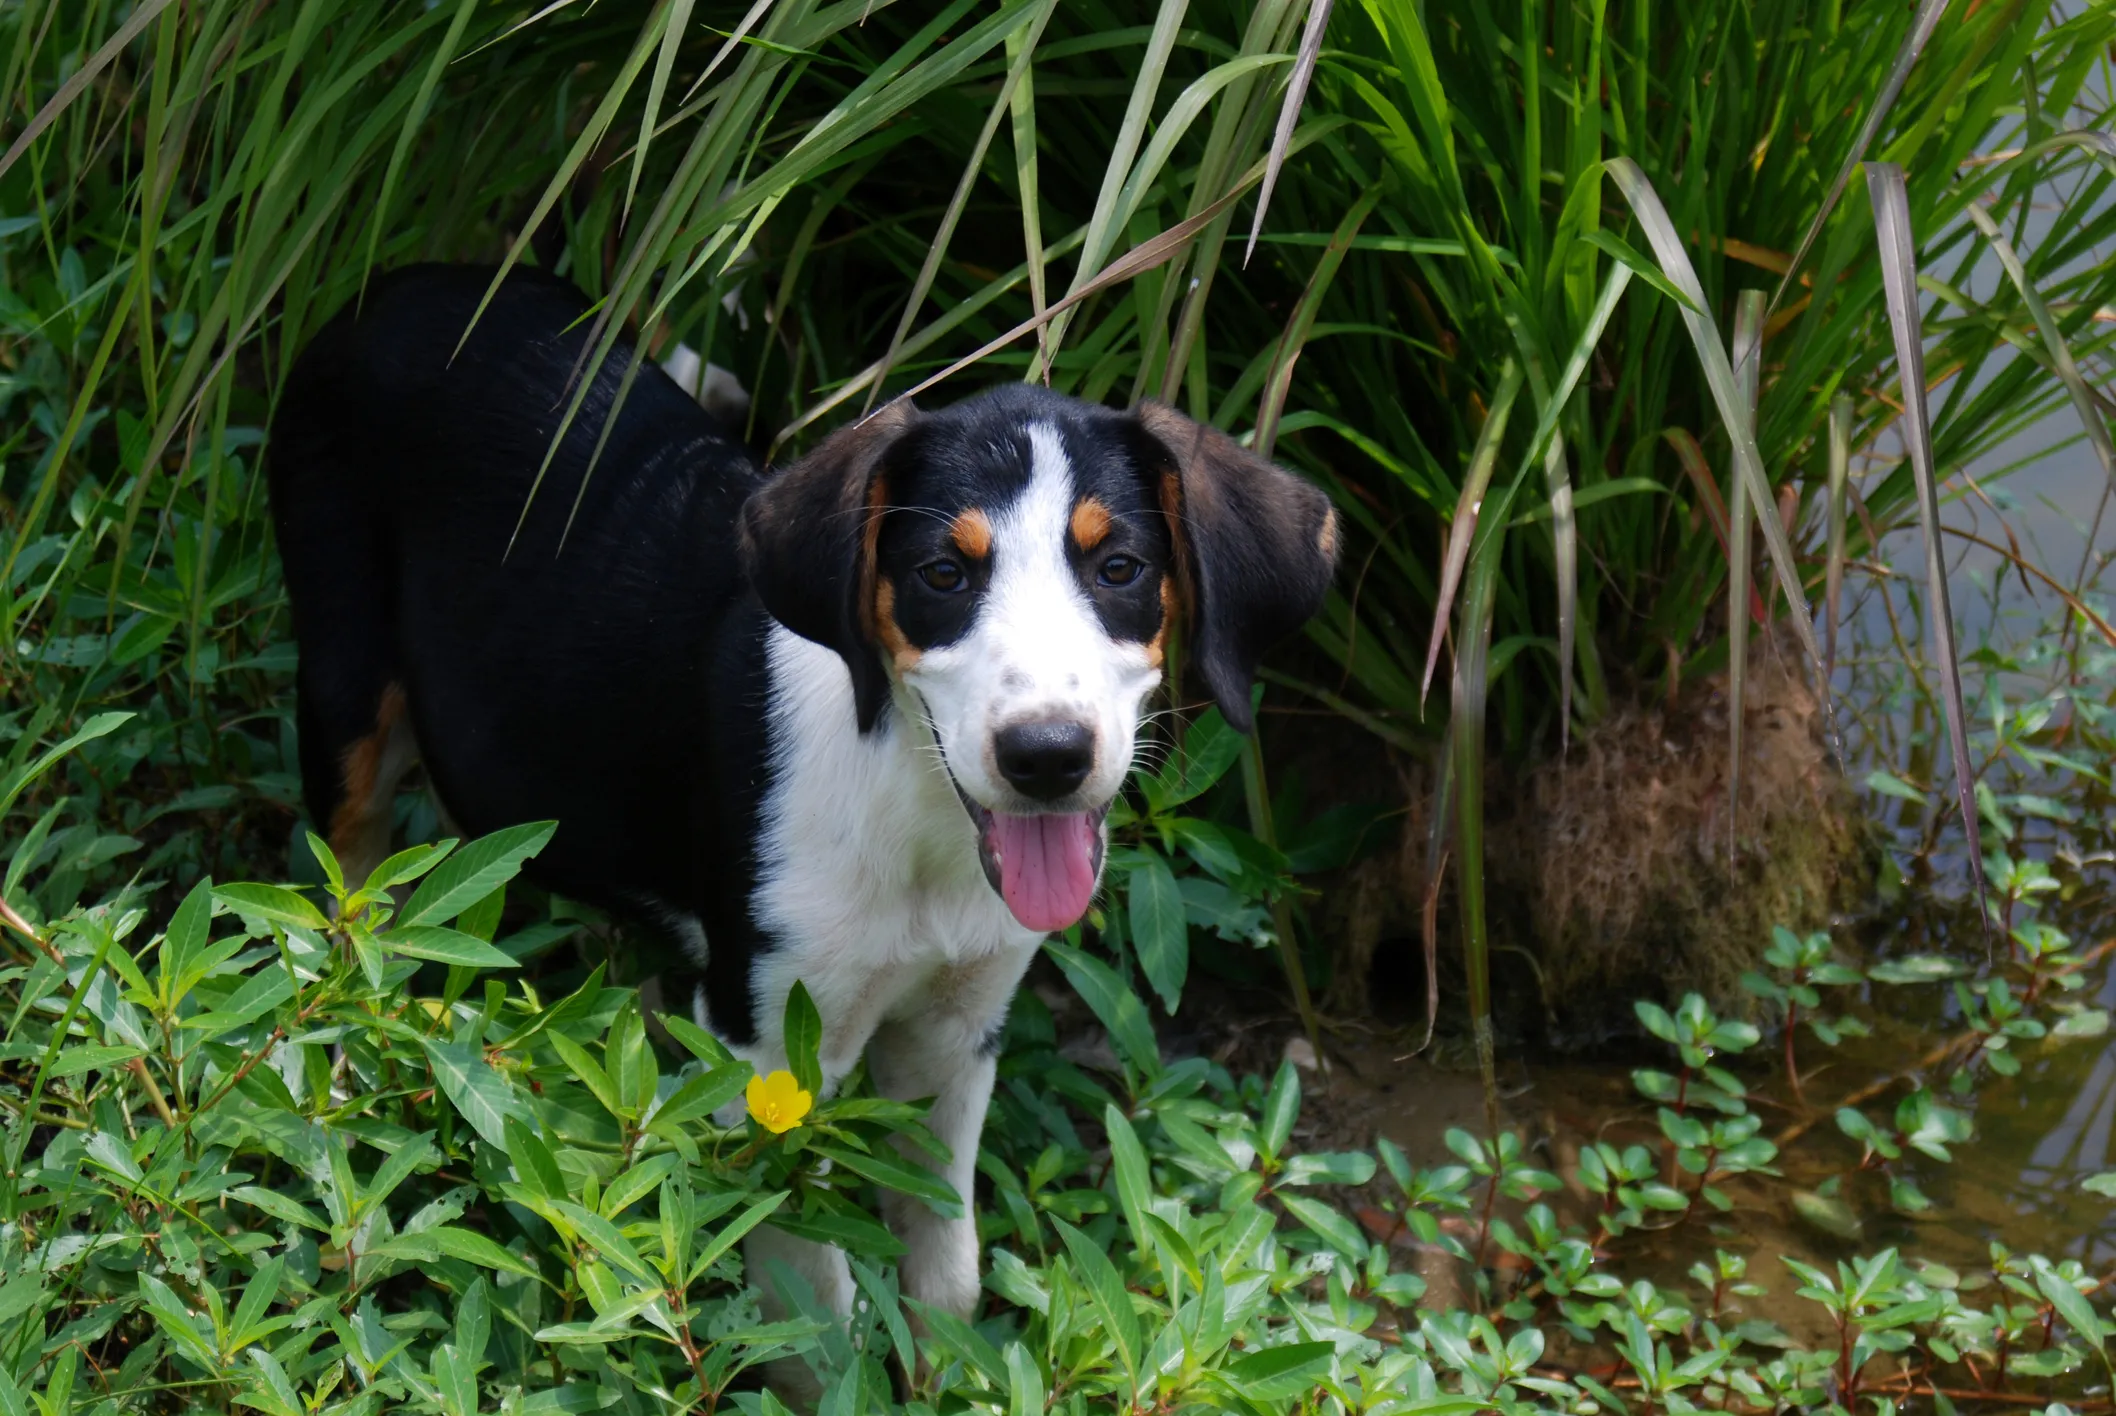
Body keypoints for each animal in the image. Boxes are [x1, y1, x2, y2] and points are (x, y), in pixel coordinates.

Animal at [272, 262, 1337, 1346]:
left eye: (1120, 569)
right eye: (941, 575)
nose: (1047, 757)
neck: (917, 824)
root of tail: (407, 281)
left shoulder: (959, 1027)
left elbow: (943, 1264)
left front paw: (946, 1364)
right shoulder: (770, 1041)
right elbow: (811, 1297)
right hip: (345, 680)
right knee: (340, 905)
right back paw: (331, 1086)